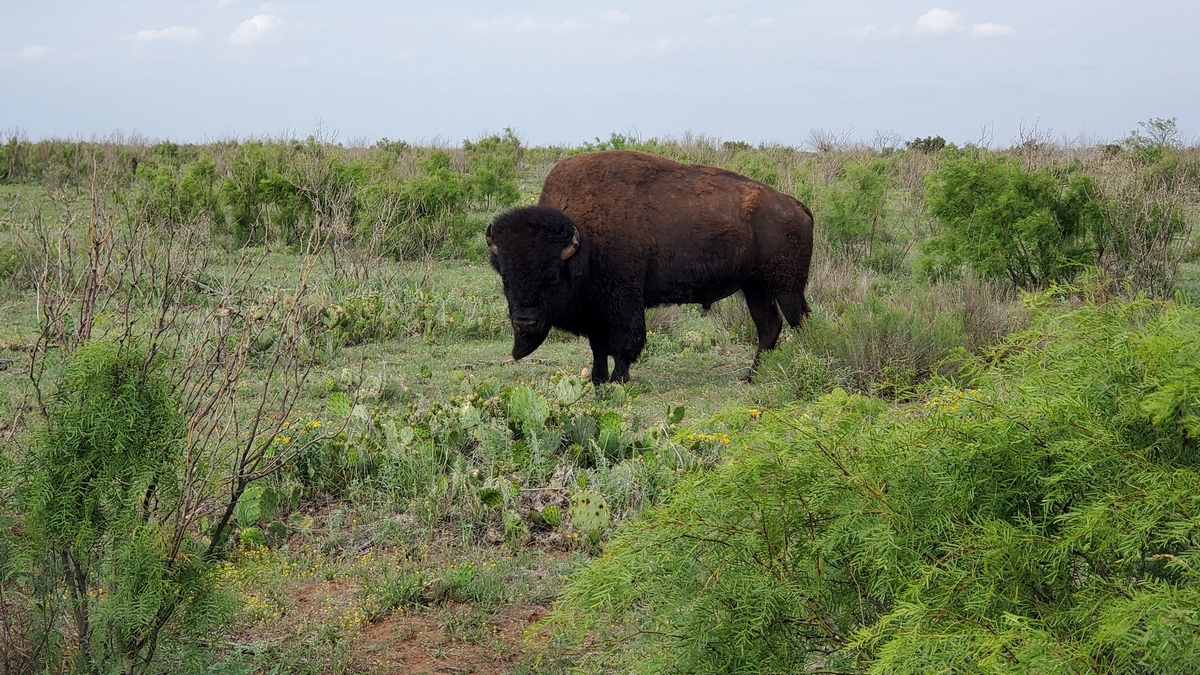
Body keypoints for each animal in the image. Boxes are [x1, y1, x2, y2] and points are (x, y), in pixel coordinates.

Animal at [486, 150, 814, 384]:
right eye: (506, 278)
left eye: (553, 276)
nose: (524, 322)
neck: (585, 241)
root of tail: (796, 206)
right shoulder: (594, 309)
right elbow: (598, 345)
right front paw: (598, 380)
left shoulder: (622, 300)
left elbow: (623, 343)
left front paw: (619, 380)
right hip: (755, 286)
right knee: (768, 327)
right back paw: (750, 377)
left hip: (787, 287)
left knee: (800, 321)